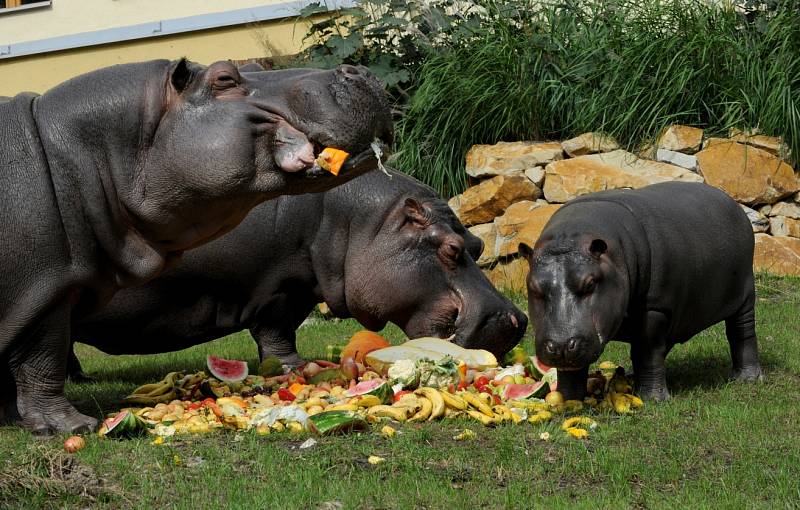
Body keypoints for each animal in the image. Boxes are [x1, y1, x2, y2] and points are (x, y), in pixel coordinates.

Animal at [0, 58, 392, 434]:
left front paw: (13, 418)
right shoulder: (46, 293)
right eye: (224, 78)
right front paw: (71, 425)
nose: (356, 70)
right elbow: (42, 361)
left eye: (251, 68)